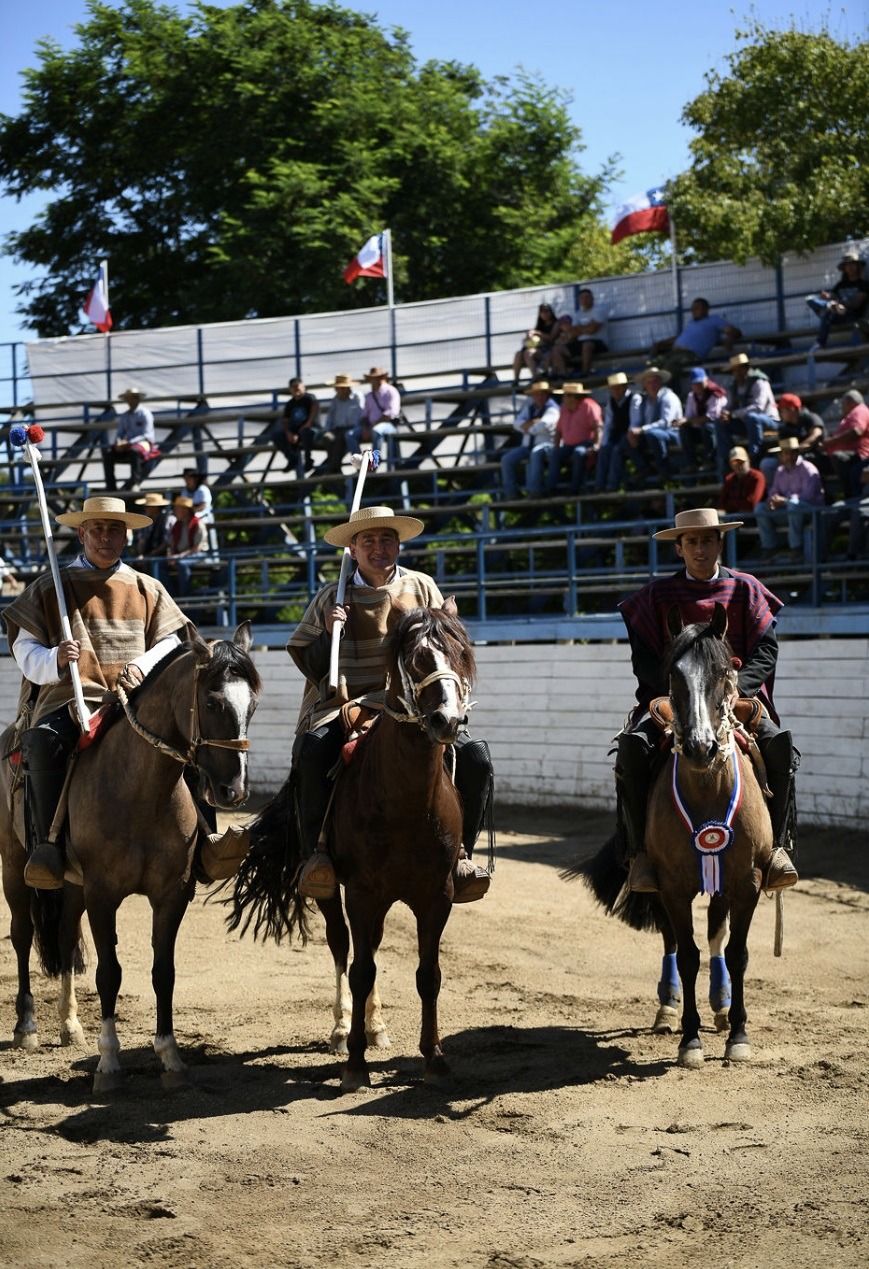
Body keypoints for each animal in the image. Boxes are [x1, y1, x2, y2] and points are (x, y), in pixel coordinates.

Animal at [0, 622, 260, 1091]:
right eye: (212, 702)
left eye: (252, 703)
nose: (233, 790)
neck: (139, 790)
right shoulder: (103, 895)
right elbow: (109, 973)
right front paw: (108, 1063)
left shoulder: (171, 895)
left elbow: (163, 972)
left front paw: (170, 1057)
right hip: (14, 866)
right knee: (23, 935)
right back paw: (26, 1026)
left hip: (73, 886)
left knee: (63, 938)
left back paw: (69, 1025)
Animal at [228, 605, 477, 1092]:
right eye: (418, 657)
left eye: (462, 653)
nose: (448, 721)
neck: (406, 800)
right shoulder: (362, 893)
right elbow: (361, 971)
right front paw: (356, 1064)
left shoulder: (437, 896)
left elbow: (428, 975)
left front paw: (434, 1058)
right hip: (331, 890)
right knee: (344, 947)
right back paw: (344, 1029)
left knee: (372, 949)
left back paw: (375, 1027)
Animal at [568, 603, 774, 1068]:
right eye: (673, 674)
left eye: (724, 671)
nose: (700, 747)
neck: (708, 795)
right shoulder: (673, 886)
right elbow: (688, 955)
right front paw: (690, 1039)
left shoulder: (747, 882)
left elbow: (736, 953)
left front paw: (738, 1034)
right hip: (656, 882)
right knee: (672, 941)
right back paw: (667, 1009)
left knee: (716, 932)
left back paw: (721, 1005)